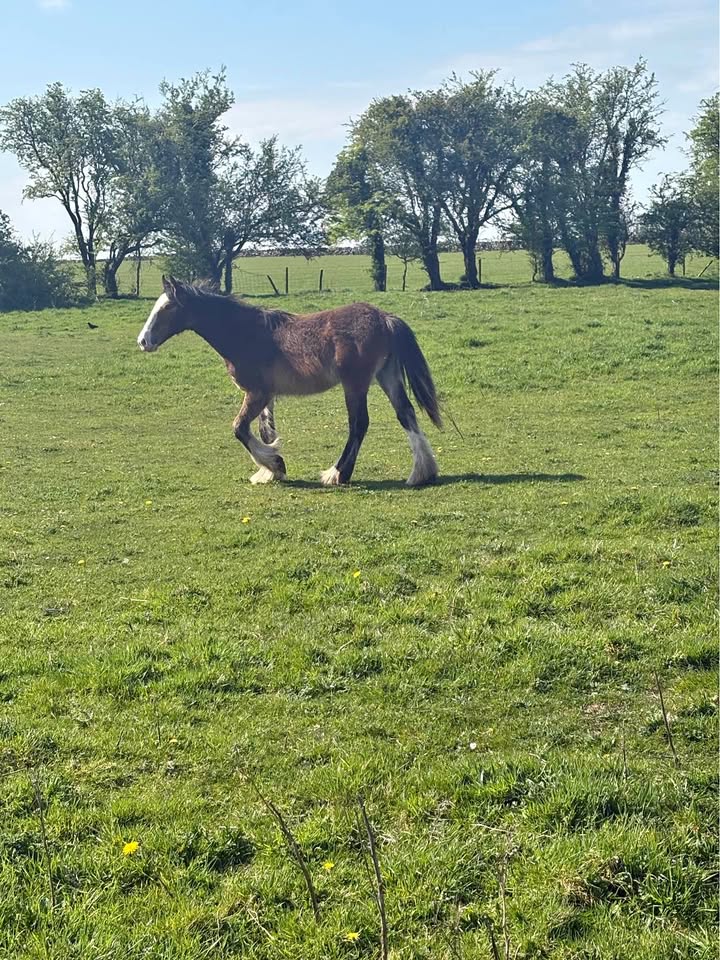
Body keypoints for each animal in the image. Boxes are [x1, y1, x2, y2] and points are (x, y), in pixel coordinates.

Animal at [137, 276, 443, 487]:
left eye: (167, 308)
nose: (143, 341)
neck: (245, 334)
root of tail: (385, 317)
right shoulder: (267, 397)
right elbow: (264, 432)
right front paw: (268, 471)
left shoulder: (256, 393)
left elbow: (239, 428)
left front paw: (276, 465)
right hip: (386, 376)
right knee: (406, 414)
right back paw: (422, 473)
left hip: (355, 384)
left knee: (359, 424)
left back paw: (337, 474)